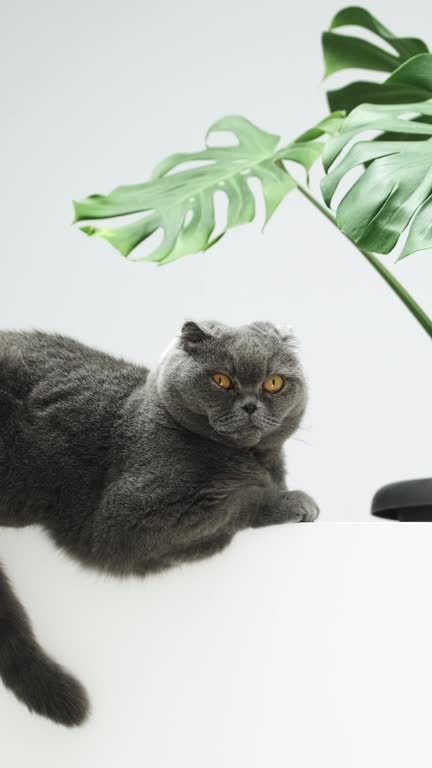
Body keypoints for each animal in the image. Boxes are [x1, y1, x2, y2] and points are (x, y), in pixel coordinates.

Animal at [0, 320, 318, 728]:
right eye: (221, 380)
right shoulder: (127, 521)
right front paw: (291, 502)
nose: (250, 405)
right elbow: (238, 502)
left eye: (274, 383)